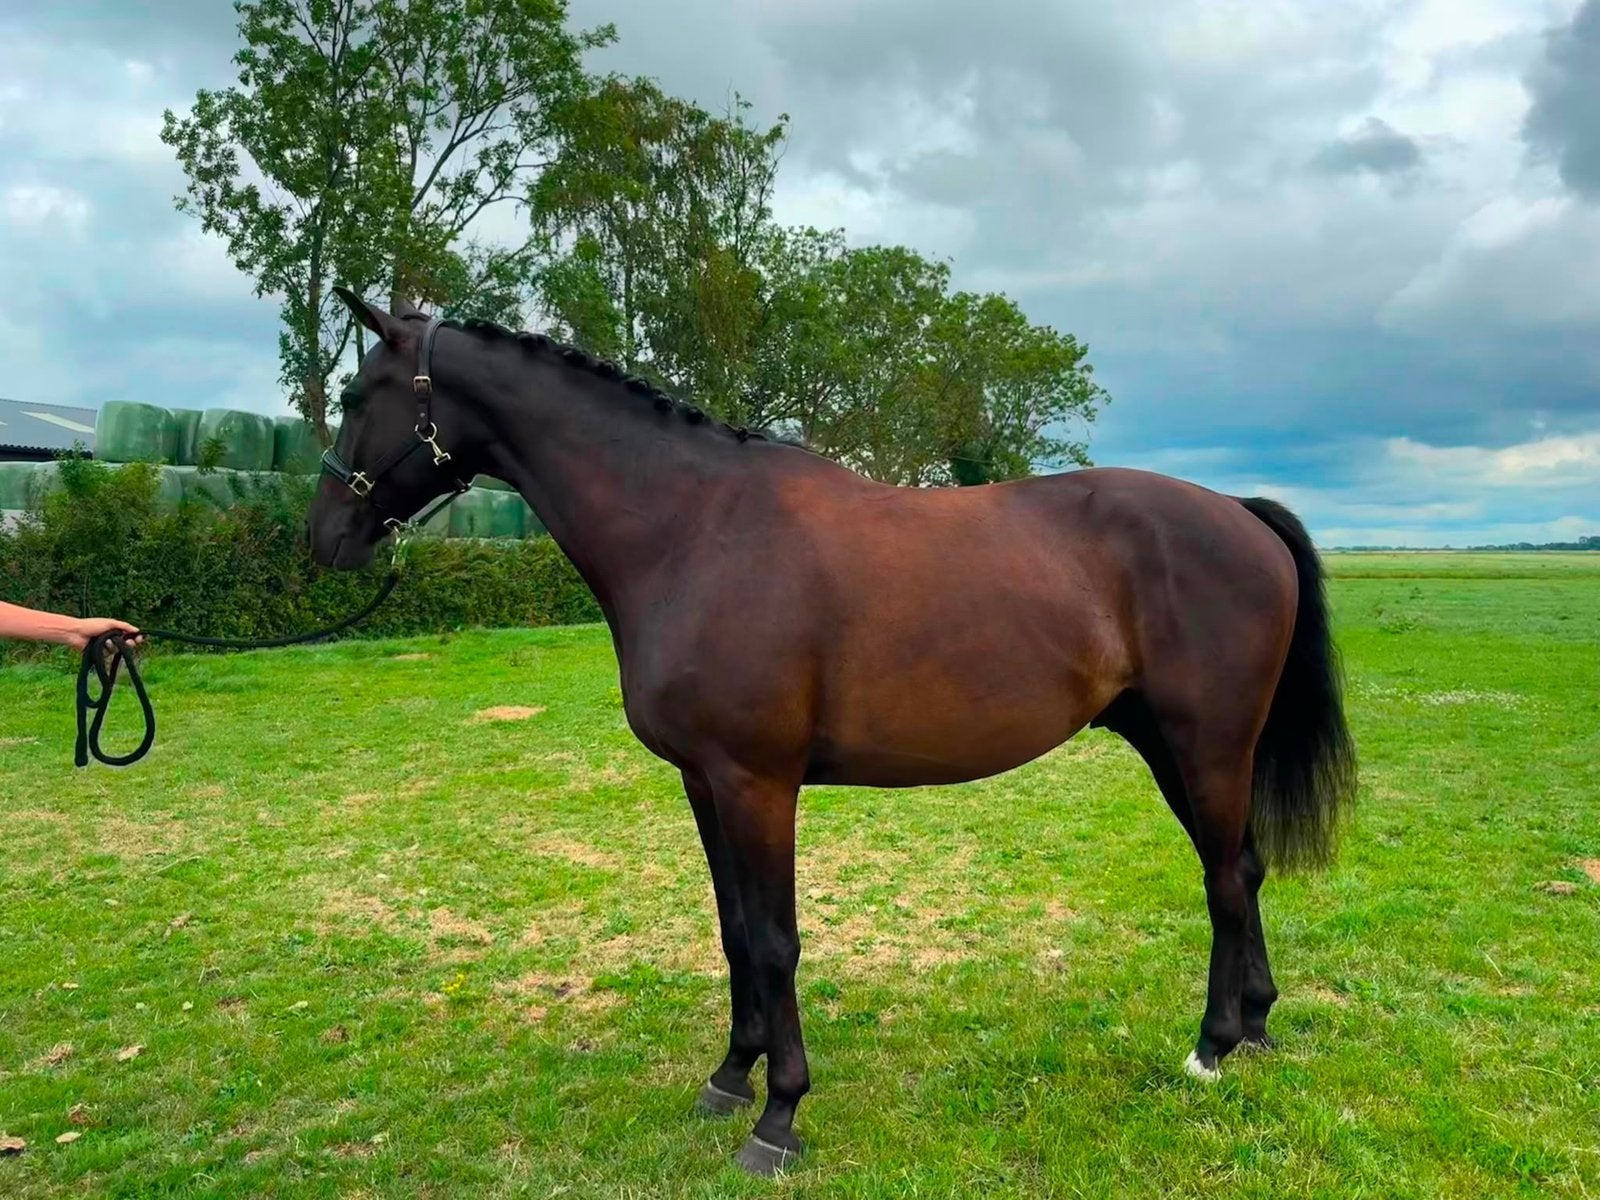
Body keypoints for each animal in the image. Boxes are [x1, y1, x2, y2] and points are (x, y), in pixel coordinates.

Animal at [307, 291, 1357, 1176]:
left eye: (359, 393)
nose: (323, 538)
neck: (694, 532)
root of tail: (1238, 515)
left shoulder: (757, 782)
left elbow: (776, 941)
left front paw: (779, 1118)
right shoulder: (704, 783)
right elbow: (733, 930)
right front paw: (728, 1079)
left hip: (1206, 745)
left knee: (1224, 880)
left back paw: (1211, 1048)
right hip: (1174, 747)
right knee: (1244, 869)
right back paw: (1256, 1029)